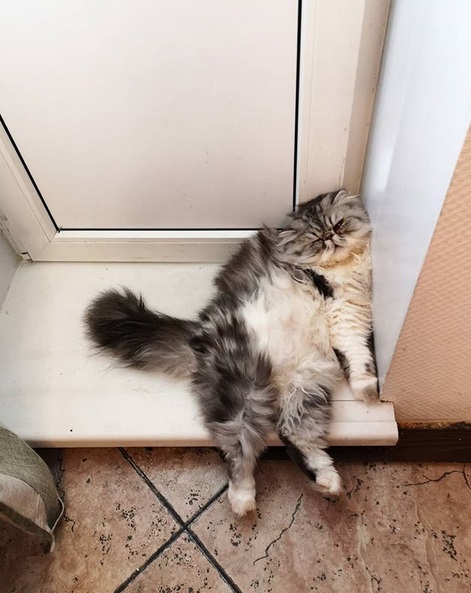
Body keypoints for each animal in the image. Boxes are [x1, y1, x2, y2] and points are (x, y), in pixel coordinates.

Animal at [85, 188, 380, 512]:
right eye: (315, 238)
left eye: (339, 224)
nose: (330, 237)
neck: (339, 271)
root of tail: (201, 331)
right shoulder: (342, 313)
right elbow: (356, 356)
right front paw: (369, 390)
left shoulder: (351, 317)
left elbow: (358, 358)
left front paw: (367, 388)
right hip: (246, 388)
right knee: (238, 450)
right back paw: (243, 499)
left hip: (304, 388)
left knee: (293, 435)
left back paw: (327, 482)